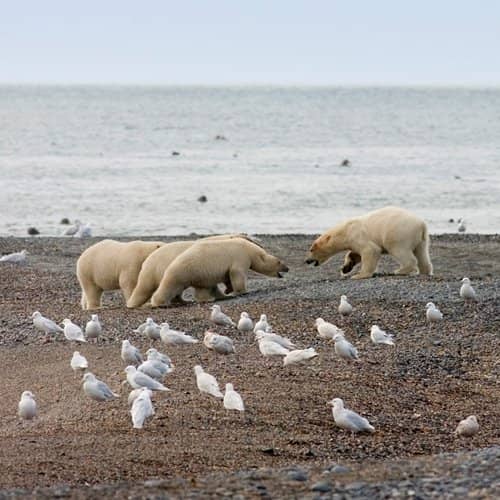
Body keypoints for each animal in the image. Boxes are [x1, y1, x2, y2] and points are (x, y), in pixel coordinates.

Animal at [125, 234, 258, 308]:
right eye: (250, 240)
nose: (258, 244)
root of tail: (148, 260)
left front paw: (226, 291)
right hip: (159, 271)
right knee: (147, 287)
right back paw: (133, 304)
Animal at [146, 239, 290, 308]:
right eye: (279, 262)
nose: (287, 268)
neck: (249, 249)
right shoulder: (240, 256)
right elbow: (237, 272)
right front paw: (241, 291)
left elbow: (228, 276)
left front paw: (228, 290)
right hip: (185, 269)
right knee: (170, 284)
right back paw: (159, 303)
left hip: (200, 273)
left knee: (203, 288)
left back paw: (212, 298)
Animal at [304, 206, 434, 280]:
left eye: (311, 249)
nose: (307, 260)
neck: (345, 231)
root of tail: (421, 224)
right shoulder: (353, 240)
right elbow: (354, 253)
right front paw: (346, 268)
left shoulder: (357, 235)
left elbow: (370, 250)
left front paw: (359, 275)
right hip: (422, 239)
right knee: (422, 253)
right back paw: (424, 271)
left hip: (398, 233)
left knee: (400, 250)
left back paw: (399, 271)